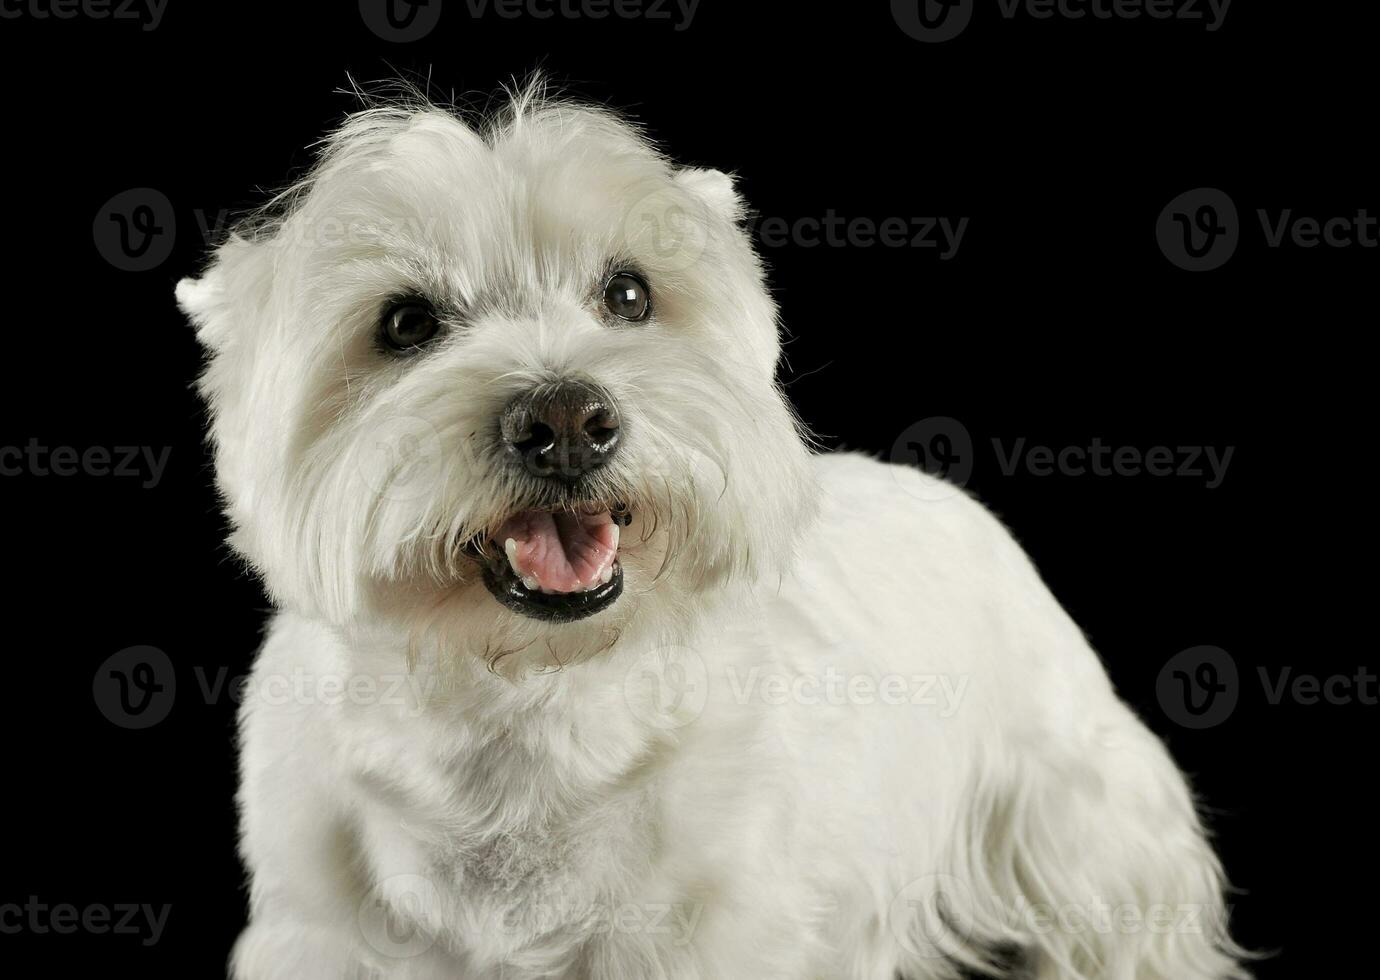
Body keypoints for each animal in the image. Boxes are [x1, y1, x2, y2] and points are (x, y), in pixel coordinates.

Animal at [178, 84, 1247, 980]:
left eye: (629, 294)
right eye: (404, 324)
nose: (568, 420)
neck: (526, 708)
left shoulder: (722, 928)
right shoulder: (322, 929)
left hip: (1076, 802)